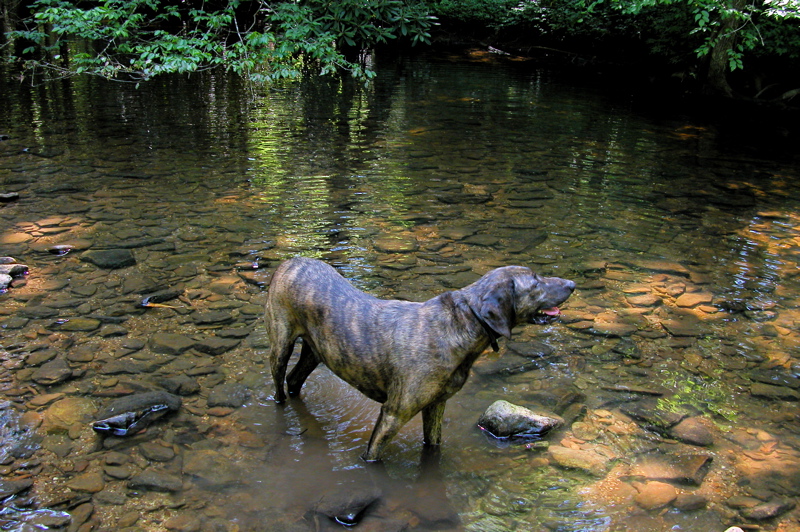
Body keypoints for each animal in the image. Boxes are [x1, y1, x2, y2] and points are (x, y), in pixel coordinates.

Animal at [268, 258, 576, 462]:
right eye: (535, 282)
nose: (572, 284)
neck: (463, 321)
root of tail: (290, 261)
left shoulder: (436, 406)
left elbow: (433, 445)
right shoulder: (394, 413)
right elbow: (372, 456)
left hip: (315, 352)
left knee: (294, 380)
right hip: (281, 344)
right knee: (280, 384)